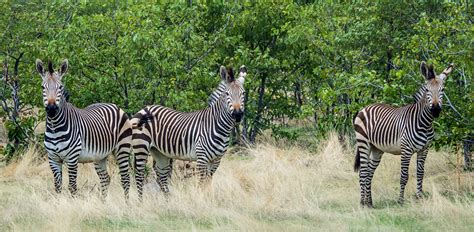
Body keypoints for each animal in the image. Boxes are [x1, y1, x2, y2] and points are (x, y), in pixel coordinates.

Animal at [35, 59, 132, 198]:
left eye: (61, 87)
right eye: (43, 87)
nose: (52, 109)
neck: (55, 128)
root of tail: (114, 105)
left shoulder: (72, 158)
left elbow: (72, 187)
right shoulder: (53, 159)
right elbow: (57, 188)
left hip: (122, 149)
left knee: (125, 179)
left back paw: (128, 202)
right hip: (99, 156)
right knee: (105, 179)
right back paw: (103, 202)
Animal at [131, 65, 246, 199]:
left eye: (243, 93)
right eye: (227, 93)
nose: (238, 115)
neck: (218, 125)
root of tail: (144, 108)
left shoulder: (216, 160)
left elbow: (208, 182)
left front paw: (209, 199)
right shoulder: (202, 158)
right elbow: (201, 183)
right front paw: (202, 200)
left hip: (159, 152)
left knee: (161, 176)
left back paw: (168, 200)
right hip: (141, 147)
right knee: (139, 175)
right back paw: (140, 201)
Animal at [354, 61, 454, 207]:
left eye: (442, 90)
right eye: (427, 90)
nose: (435, 110)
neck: (425, 123)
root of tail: (365, 107)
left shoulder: (424, 149)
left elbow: (420, 173)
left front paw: (419, 197)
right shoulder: (406, 150)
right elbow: (404, 176)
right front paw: (400, 200)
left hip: (377, 149)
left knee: (369, 173)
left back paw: (370, 203)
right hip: (363, 143)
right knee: (363, 172)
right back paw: (362, 203)